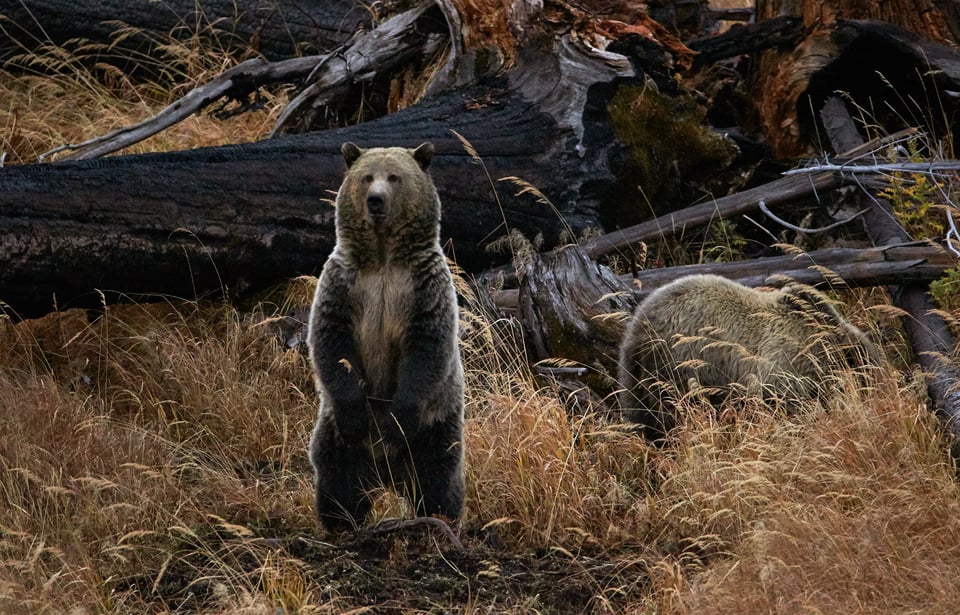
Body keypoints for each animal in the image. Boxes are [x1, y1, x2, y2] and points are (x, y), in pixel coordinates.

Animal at [308, 142, 464, 532]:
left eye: (394, 176)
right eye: (367, 177)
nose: (375, 200)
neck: (383, 259)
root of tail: (386, 474)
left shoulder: (423, 289)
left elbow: (425, 351)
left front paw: (396, 423)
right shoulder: (345, 285)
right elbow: (333, 345)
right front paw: (357, 417)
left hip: (437, 423)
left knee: (437, 473)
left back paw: (440, 518)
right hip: (332, 432)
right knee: (336, 474)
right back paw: (342, 522)